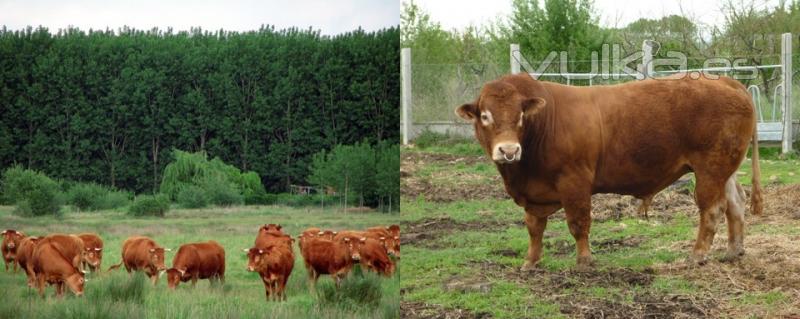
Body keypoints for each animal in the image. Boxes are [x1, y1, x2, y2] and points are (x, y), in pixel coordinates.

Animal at [456, 73, 764, 270]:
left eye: (520, 115)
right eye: (485, 115)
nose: (508, 150)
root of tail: (725, 80)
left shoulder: (574, 182)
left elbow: (578, 223)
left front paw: (583, 261)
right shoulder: (535, 192)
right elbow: (534, 227)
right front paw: (530, 262)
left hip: (710, 168)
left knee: (711, 209)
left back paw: (698, 255)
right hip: (724, 169)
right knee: (735, 202)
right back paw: (733, 250)